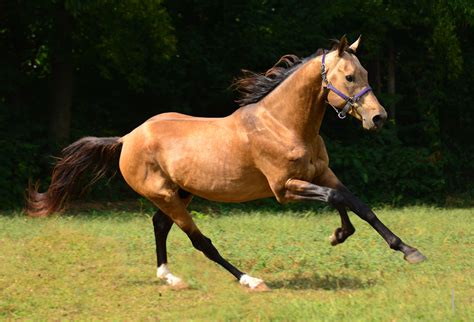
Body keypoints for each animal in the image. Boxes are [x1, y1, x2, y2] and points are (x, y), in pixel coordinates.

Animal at [26, 36, 426, 290]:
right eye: (349, 76)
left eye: (367, 75)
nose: (378, 117)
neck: (283, 124)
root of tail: (127, 139)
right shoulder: (284, 189)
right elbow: (338, 199)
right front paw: (340, 234)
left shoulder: (322, 173)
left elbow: (357, 203)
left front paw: (406, 250)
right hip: (167, 196)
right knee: (200, 242)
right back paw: (249, 280)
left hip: (180, 193)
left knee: (159, 225)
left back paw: (169, 277)